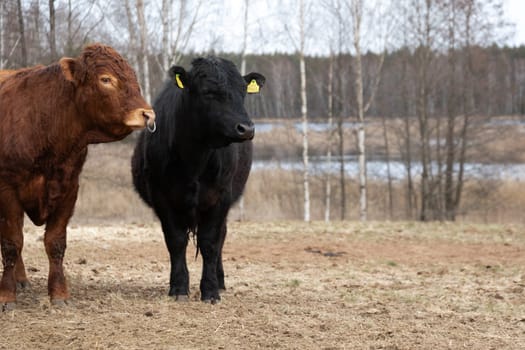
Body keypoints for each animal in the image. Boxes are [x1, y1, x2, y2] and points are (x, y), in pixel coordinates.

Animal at [0, 43, 156, 308]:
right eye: (106, 79)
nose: (147, 114)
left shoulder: (69, 188)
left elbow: (55, 242)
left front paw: (59, 293)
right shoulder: (7, 189)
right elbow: (12, 242)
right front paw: (6, 295)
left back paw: (21, 280)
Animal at [129, 57, 264, 304]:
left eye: (243, 92)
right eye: (208, 92)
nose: (246, 128)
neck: (195, 159)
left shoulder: (221, 197)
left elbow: (210, 242)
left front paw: (210, 291)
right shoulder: (162, 197)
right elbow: (176, 241)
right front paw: (179, 288)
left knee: (220, 238)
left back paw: (219, 282)